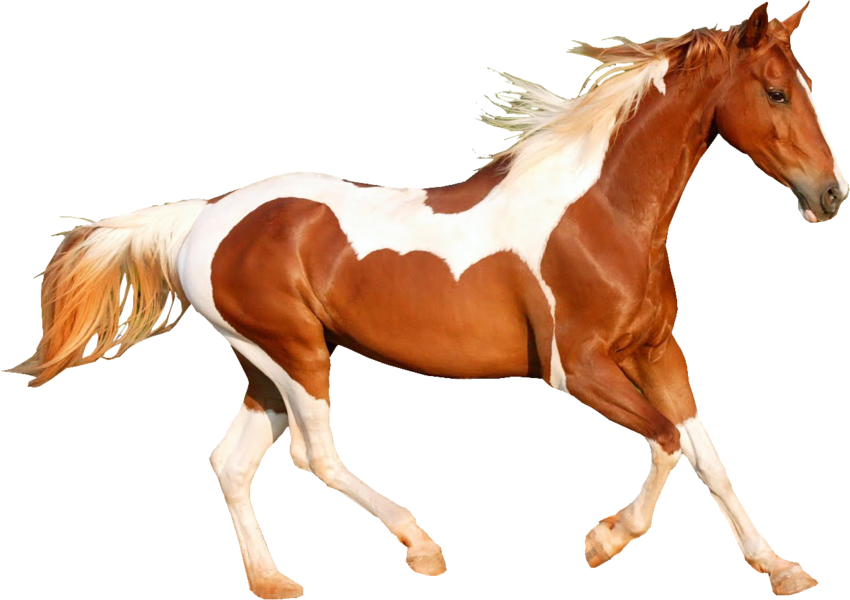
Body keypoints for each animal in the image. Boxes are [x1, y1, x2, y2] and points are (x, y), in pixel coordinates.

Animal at [5, 1, 842, 597]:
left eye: (808, 88)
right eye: (775, 92)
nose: (832, 196)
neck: (602, 213)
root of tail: (204, 214)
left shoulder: (659, 352)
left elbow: (707, 457)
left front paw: (782, 568)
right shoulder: (578, 368)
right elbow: (666, 442)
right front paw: (603, 540)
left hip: (260, 367)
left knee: (233, 462)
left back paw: (273, 582)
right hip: (296, 354)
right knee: (314, 454)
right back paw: (422, 548)